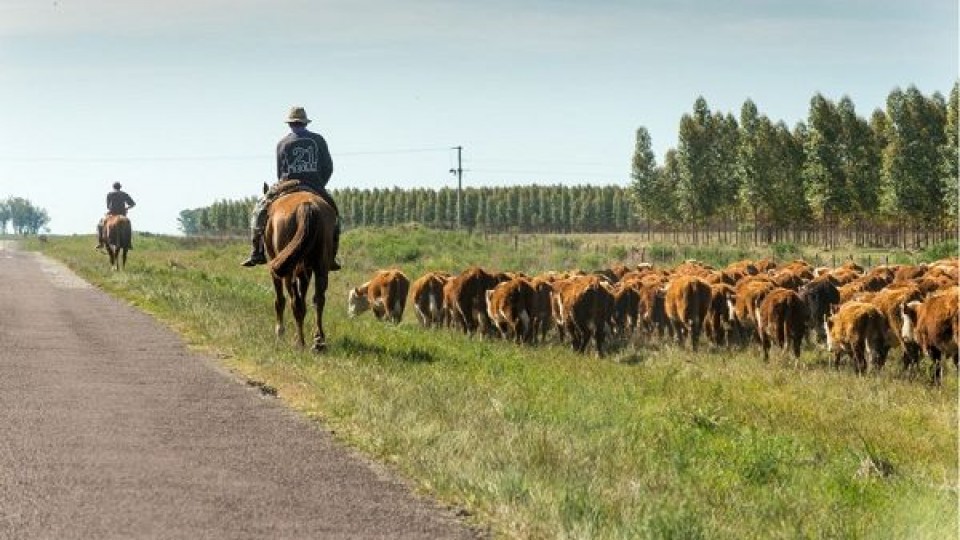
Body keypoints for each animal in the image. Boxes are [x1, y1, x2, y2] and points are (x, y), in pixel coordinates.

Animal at [262, 189, 338, 350]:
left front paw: (280, 332)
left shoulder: (277, 271)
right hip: (321, 266)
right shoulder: (305, 271)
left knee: (294, 302)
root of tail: (306, 205)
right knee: (318, 300)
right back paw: (318, 341)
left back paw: (300, 343)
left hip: (287, 272)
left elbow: (279, 300)